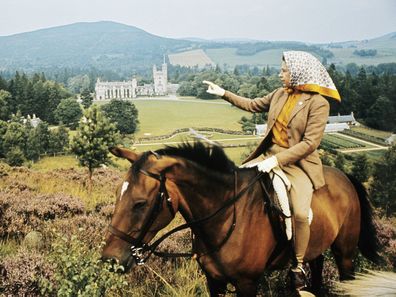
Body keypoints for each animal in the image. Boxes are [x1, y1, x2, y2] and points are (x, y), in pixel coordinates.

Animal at [101, 142, 380, 294]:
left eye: (140, 203)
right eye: (116, 194)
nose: (109, 261)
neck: (225, 217)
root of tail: (344, 177)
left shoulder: (247, 283)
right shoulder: (214, 281)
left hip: (345, 254)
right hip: (315, 249)